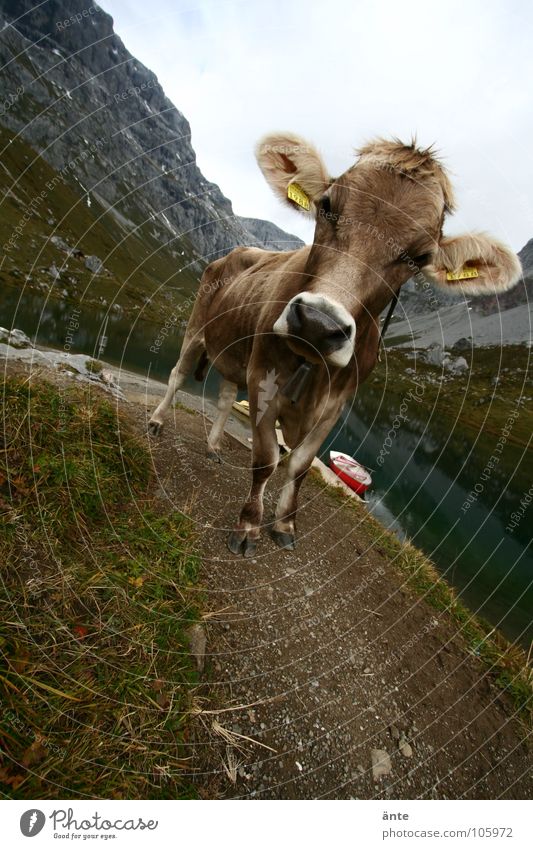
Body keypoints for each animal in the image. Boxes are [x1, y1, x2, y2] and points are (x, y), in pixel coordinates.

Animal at [148, 132, 520, 556]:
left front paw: (285, 525)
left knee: (226, 396)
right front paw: (249, 526)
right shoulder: (264, 374)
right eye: (326, 205)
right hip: (197, 328)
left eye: (419, 257)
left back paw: (212, 448)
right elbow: (266, 459)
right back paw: (156, 422)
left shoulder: (337, 403)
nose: (316, 323)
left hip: (234, 352)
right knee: (178, 375)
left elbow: (300, 465)